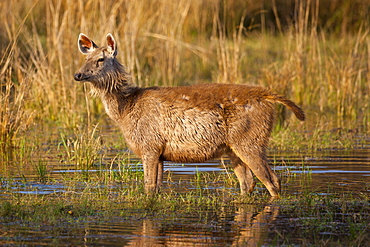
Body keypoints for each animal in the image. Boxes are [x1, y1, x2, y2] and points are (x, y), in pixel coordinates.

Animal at [73, 33, 304, 198]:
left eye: (101, 59)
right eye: (85, 57)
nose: (78, 74)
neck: (126, 110)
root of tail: (266, 96)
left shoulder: (149, 144)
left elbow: (148, 187)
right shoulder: (160, 151)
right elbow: (156, 188)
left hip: (250, 139)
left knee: (272, 180)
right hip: (233, 147)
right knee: (248, 182)